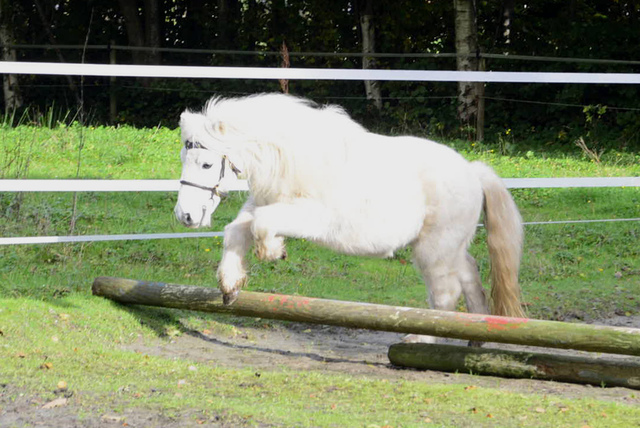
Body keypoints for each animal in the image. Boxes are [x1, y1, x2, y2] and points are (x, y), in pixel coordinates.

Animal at [175, 93, 524, 342]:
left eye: (206, 164)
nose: (185, 216)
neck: (291, 157)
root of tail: (473, 173)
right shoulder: (262, 206)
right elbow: (237, 230)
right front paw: (230, 284)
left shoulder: (309, 216)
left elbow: (262, 225)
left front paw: (273, 251)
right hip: (450, 249)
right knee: (470, 278)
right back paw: (475, 336)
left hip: (434, 250)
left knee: (445, 295)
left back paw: (420, 341)